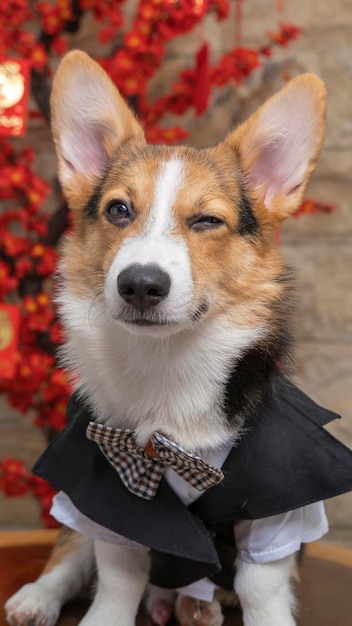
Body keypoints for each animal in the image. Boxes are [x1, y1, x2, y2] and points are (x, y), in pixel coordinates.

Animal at [4, 52, 328, 624]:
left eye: (207, 220)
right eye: (118, 210)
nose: (139, 284)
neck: (166, 364)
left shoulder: (282, 507)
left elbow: (261, 587)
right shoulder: (103, 497)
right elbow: (115, 579)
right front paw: (102, 617)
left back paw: (194, 605)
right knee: (70, 555)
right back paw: (40, 598)